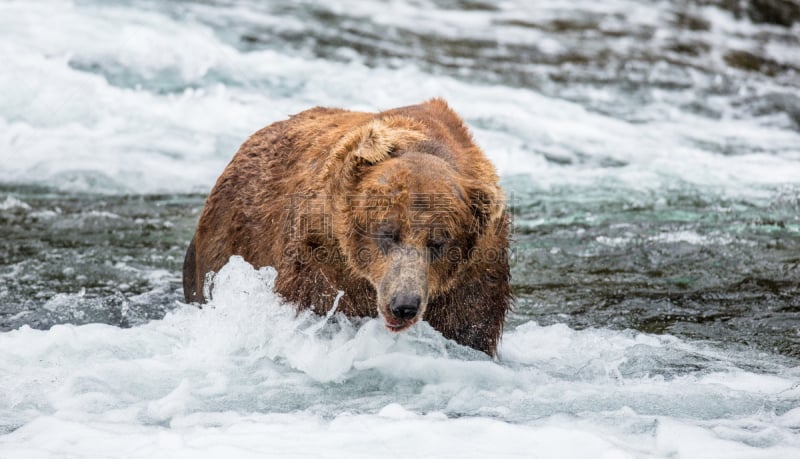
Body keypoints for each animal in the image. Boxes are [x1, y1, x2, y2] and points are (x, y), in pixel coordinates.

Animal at [183, 98, 512, 356]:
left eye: (439, 242)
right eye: (387, 233)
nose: (404, 304)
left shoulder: (473, 278)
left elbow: (468, 328)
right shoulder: (323, 256)